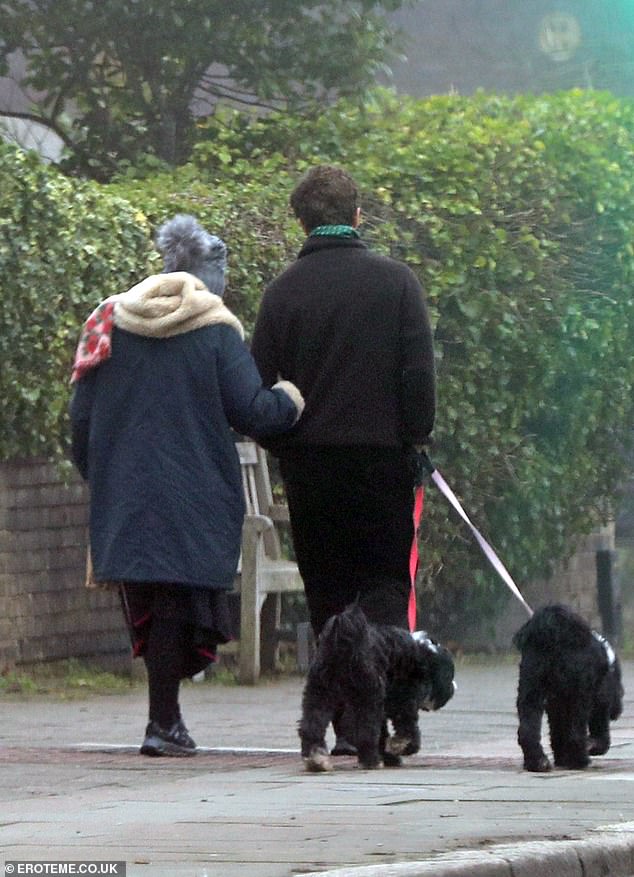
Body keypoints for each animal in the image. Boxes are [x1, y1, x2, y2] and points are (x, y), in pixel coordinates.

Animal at [298, 604, 454, 768]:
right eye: (449, 678)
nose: (453, 688)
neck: (424, 656)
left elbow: (383, 733)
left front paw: (390, 756)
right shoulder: (404, 702)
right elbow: (407, 731)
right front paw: (401, 747)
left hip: (320, 692)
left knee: (311, 726)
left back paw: (316, 758)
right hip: (366, 697)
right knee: (365, 732)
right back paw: (370, 760)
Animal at [512, 604, 620, 768]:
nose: (617, 712)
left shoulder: (555, 704)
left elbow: (557, 732)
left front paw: (561, 758)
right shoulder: (599, 703)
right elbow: (601, 734)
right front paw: (592, 747)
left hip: (531, 689)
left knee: (527, 730)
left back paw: (537, 762)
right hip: (579, 697)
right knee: (576, 732)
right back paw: (580, 760)